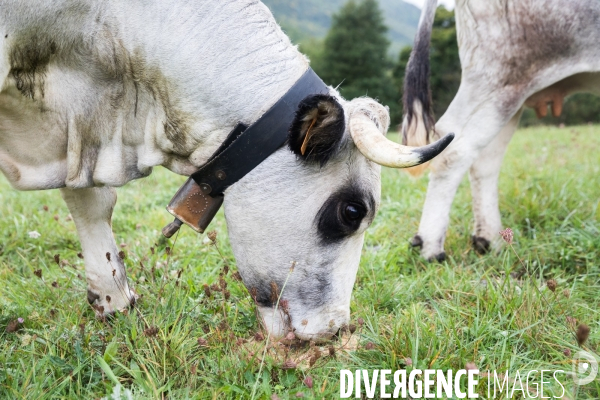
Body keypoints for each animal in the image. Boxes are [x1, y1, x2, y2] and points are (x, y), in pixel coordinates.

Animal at [404, 0, 600, 260]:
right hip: (498, 79)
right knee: (454, 150)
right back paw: (431, 247)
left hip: (509, 93)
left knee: (483, 160)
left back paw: (491, 240)